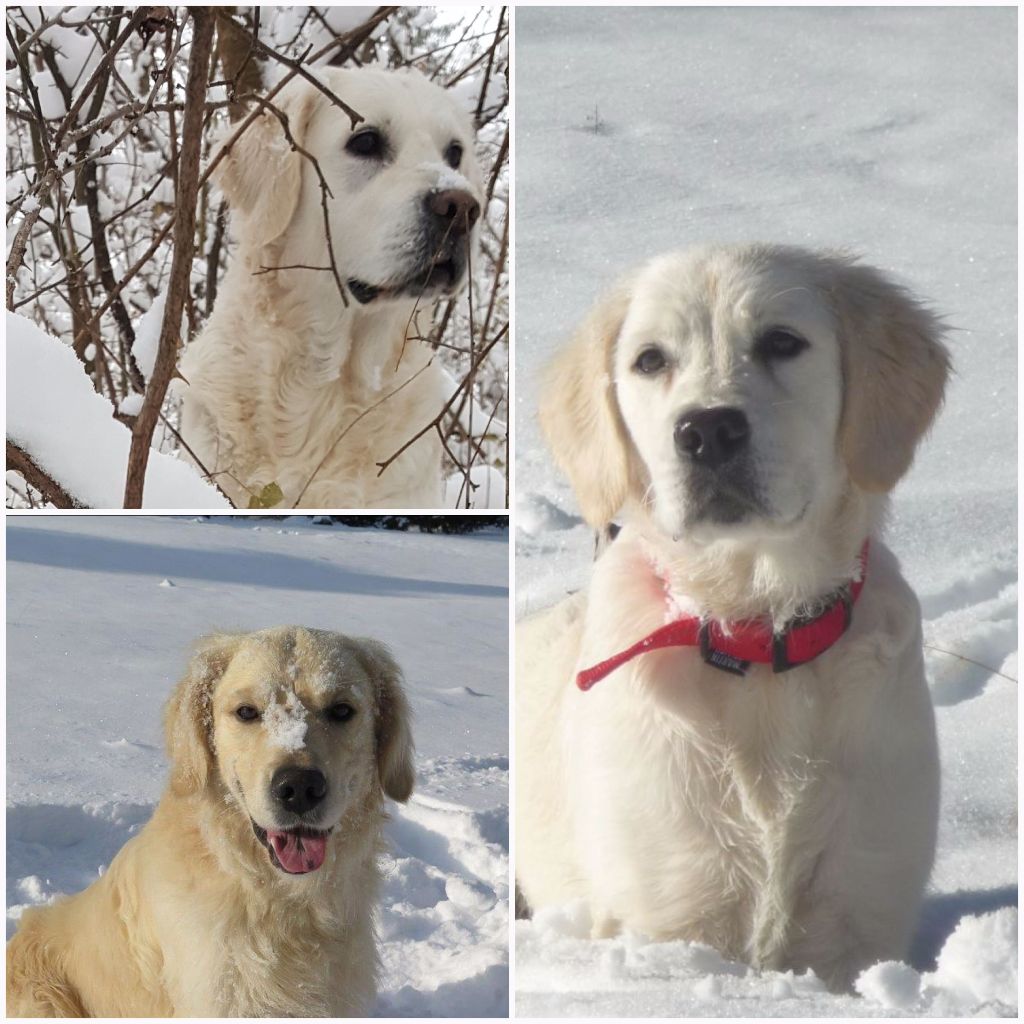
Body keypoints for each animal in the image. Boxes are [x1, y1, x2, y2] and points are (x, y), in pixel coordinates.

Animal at [520, 243, 950, 987]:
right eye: (650, 359)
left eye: (782, 342)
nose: (708, 430)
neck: (756, 633)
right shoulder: (672, 916)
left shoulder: (859, 922)